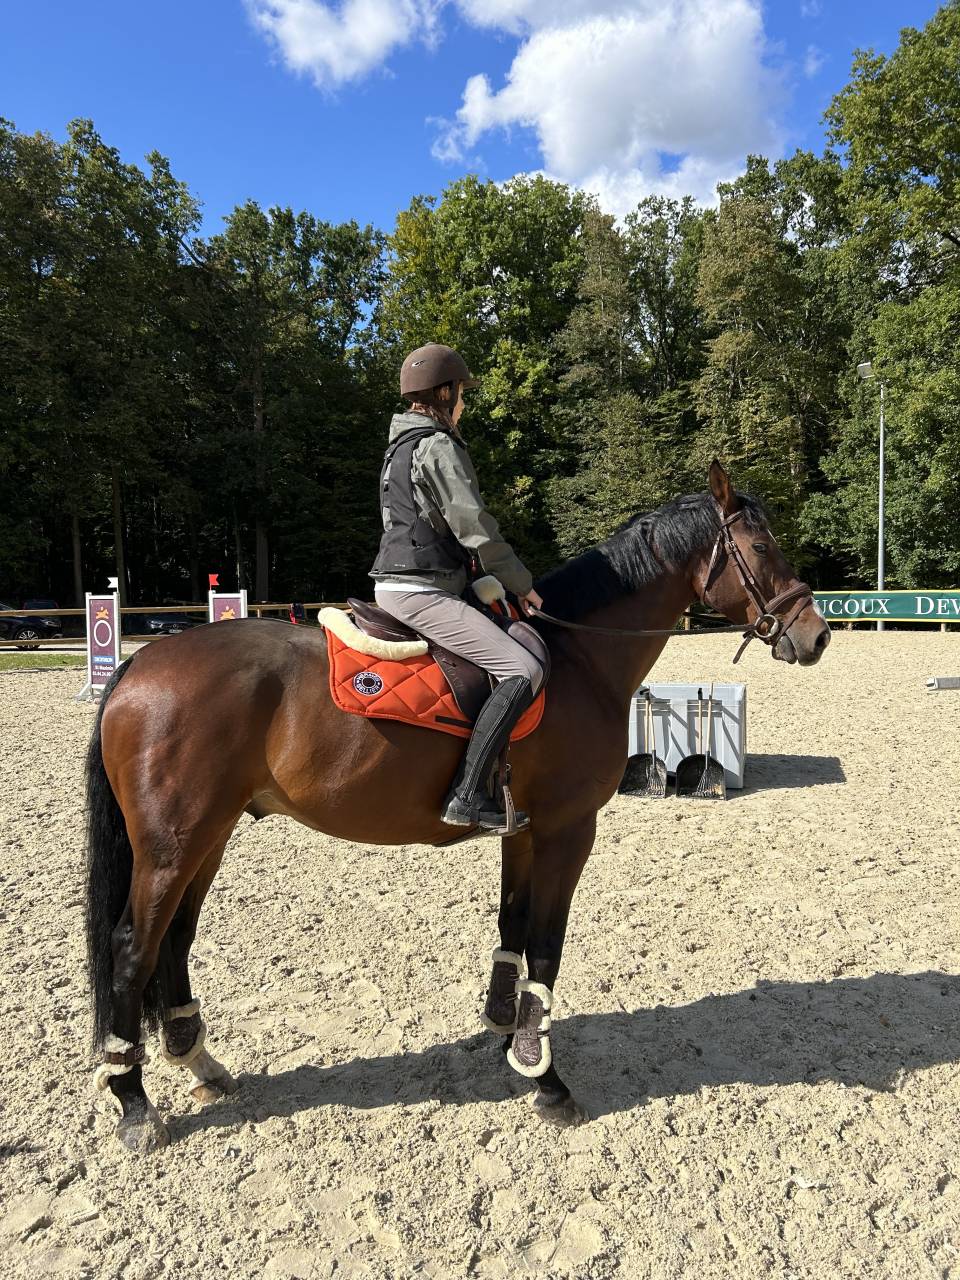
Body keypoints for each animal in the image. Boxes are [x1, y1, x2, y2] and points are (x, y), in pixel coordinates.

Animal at [85, 462, 830, 1152]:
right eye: (761, 547)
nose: (815, 634)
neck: (578, 656)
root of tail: (140, 663)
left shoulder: (522, 831)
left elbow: (512, 925)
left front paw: (508, 1034)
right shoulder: (567, 830)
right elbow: (547, 946)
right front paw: (546, 1080)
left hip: (208, 836)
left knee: (175, 939)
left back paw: (199, 1062)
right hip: (173, 845)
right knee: (134, 947)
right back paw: (133, 1101)